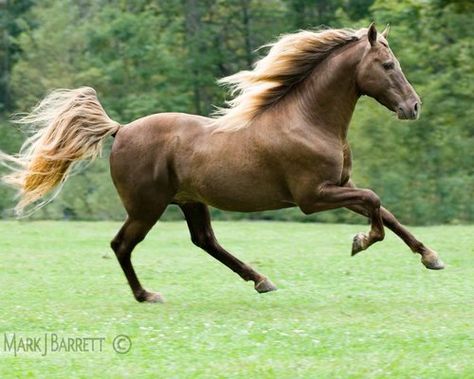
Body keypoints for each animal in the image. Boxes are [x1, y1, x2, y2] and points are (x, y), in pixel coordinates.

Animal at [0, 23, 444, 302]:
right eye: (388, 65)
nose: (413, 107)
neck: (308, 121)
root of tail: (120, 129)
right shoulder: (313, 197)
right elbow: (374, 201)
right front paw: (360, 242)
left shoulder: (337, 188)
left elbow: (385, 210)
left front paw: (430, 257)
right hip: (147, 207)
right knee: (122, 244)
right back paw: (148, 295)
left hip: (190, 201)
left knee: (205, 241)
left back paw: (261, 281)